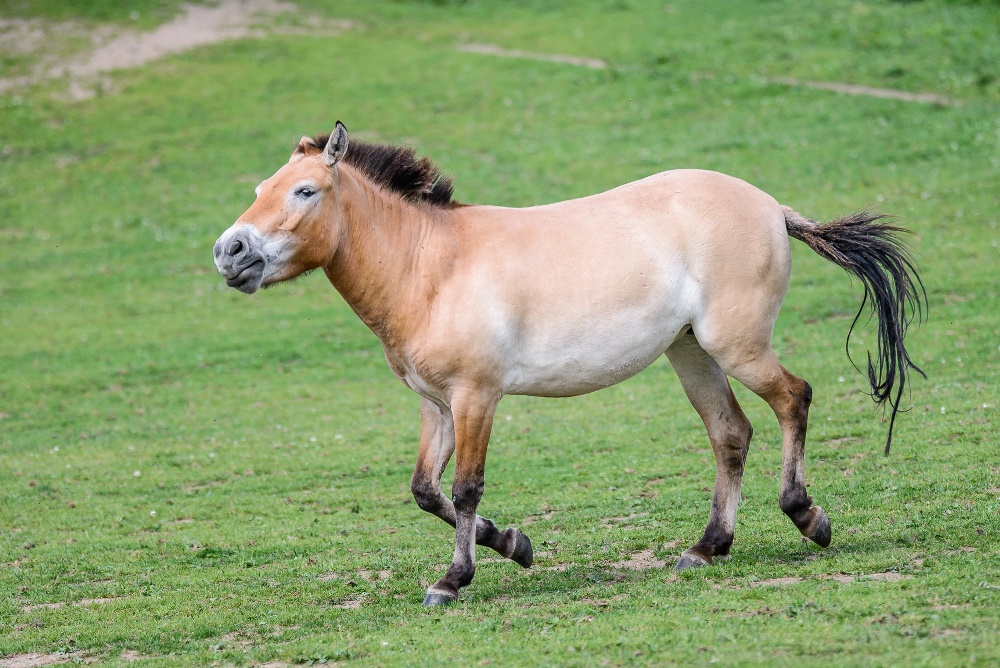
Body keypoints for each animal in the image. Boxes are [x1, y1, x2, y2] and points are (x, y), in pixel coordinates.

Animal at [215, 122, 924, 608]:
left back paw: (808, 517)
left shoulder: (477, 397)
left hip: (737, 347)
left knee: (793, 399)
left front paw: (454, 579)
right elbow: (424, 490)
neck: (431, 266)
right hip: (691, 352)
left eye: (304, 190)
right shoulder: (435, 403)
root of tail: (772, 207)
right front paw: (515, 545)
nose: (230, 251)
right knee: (731, 433)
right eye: (258, 190)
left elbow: (466, 488)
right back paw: (706, 547)